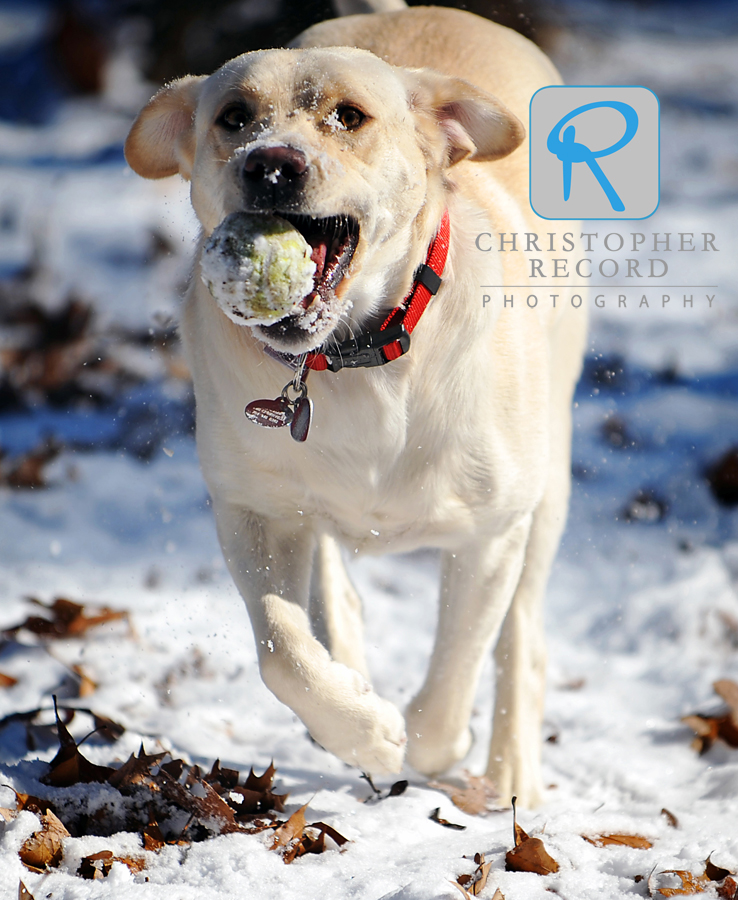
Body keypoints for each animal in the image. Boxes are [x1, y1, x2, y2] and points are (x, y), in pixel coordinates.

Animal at [128, 0, 588, 800]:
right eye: (233, 117)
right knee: (334, 597)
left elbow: (456, 673)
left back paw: (508, 774)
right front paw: (364, 728)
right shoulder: (253, 508)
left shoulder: (491, 531)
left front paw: (423, 742)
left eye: (349, 116)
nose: (270, 164)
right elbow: (282, 649)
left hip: (547, 487)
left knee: (520, 641)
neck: (354, 355)